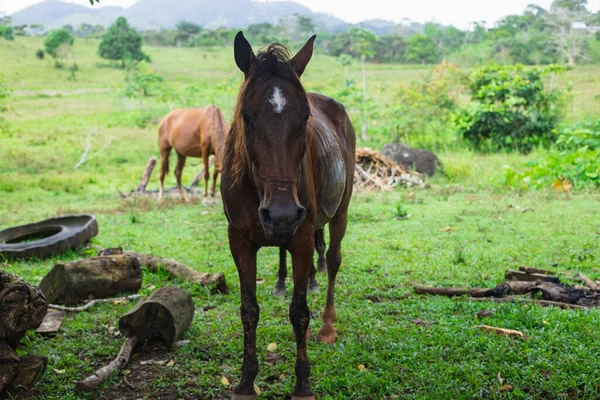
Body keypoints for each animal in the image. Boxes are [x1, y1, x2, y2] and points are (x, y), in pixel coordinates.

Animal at [220, 32, 354, 398]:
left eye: (305, 118)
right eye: (246, 118)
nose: (281, 211)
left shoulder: (303, 234)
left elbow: (299, 311)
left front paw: (302, 382)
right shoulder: (239, 240)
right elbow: (248, 310)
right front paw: (246, 380)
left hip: (340, 212)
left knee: (332, 261)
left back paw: (326, 327)